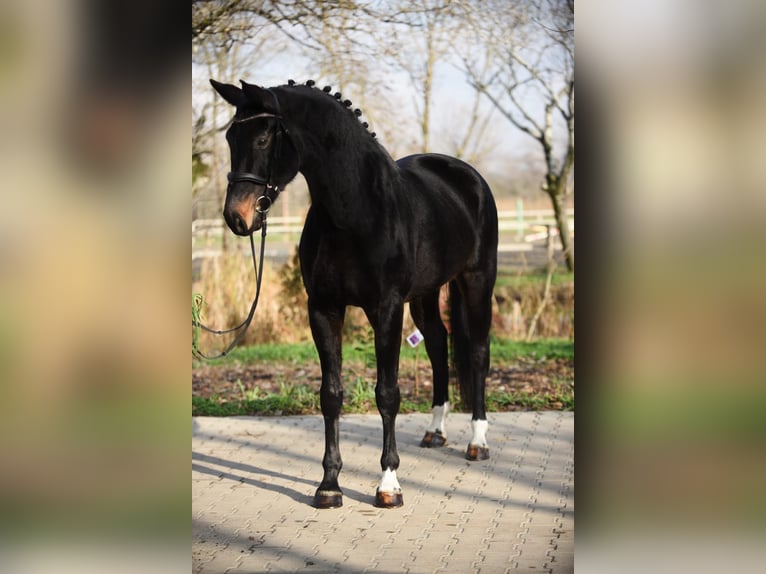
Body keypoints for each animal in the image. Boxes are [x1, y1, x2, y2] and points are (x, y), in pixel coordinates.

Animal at [212, 79, 498, 510]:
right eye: (231, 137)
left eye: (262, 138)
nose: (237, 217)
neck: (355, 212)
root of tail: (468, 176)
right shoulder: (324, 308)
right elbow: (331, 394)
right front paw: (329, 485)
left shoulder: (387, 309)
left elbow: (387, 393)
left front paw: (389, 484)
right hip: (426, 295)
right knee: (438, 345)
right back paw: (435, 432)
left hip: (478, 280)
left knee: (478, 353)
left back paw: (477, 441)